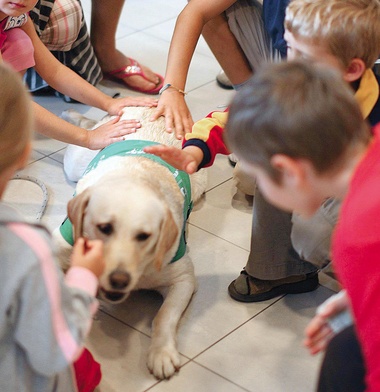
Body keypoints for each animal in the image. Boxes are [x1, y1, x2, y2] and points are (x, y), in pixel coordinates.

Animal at [53, 107, 206, 380]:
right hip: (75, 162)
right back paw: (73, 114)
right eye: (104, 228)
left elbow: (164, 317)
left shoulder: (184, 278)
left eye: (144, 236)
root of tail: (153, 104)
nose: (119, 280)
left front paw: (161, 353)